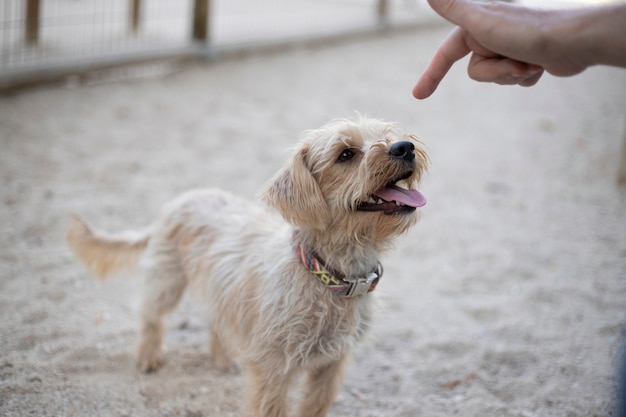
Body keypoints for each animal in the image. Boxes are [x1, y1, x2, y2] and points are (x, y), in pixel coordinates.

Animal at [68, 116, 426, 416]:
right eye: (346, 154)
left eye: (387, 133)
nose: (404, 147)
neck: (327, 275)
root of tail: (181, 200)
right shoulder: (274, 371)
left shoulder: (330, 365)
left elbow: (314, 407)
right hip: (167, 281)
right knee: (150, 315)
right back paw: (147, 358)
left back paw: (223, 358)